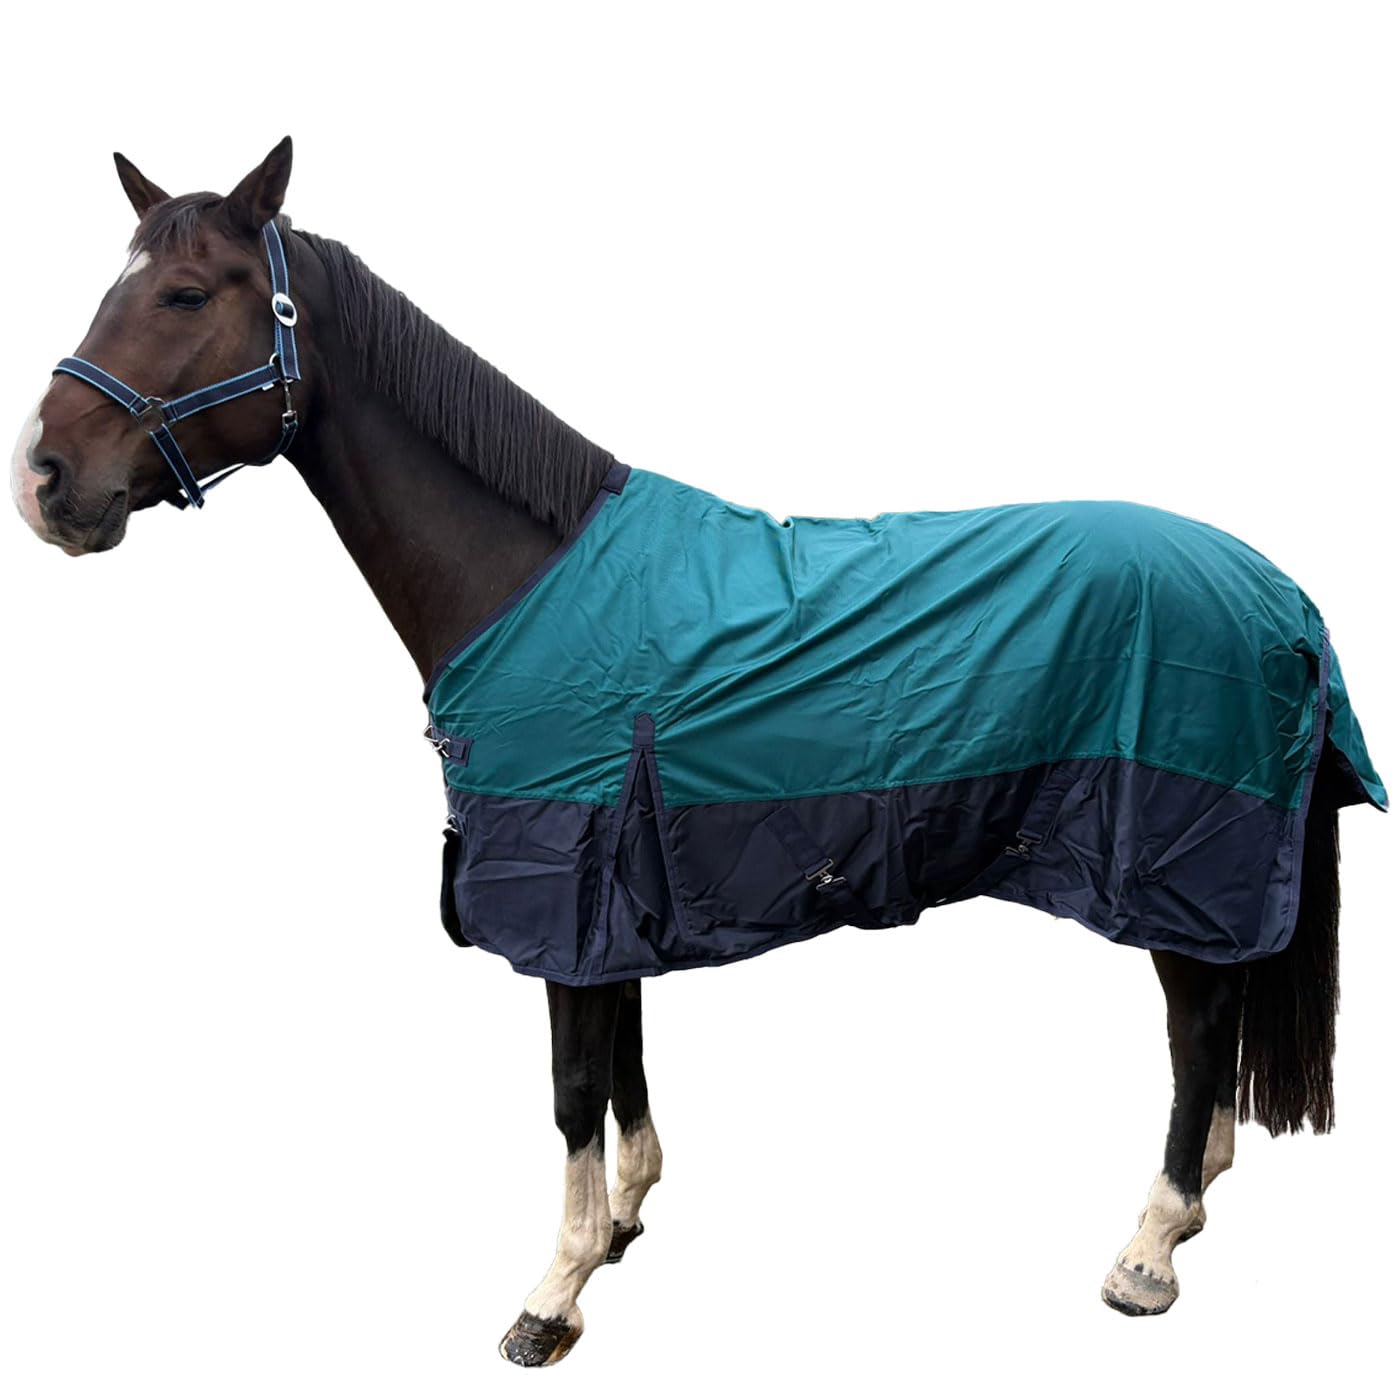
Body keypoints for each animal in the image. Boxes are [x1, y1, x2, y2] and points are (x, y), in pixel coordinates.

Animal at [12, 138, 1386, 1368]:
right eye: (114, 287)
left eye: (187, 295)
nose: (44, 481)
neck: (527, 576)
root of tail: (1278, 591)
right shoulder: (606, 888)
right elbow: (622, 1059)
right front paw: (621, 1218)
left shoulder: (560, 885)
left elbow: (572, 1083)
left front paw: (551, 1294)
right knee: (1206, 1023)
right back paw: (1192, 1198)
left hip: (1171, 859)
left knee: (1197, 1022)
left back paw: (1148, 1247)